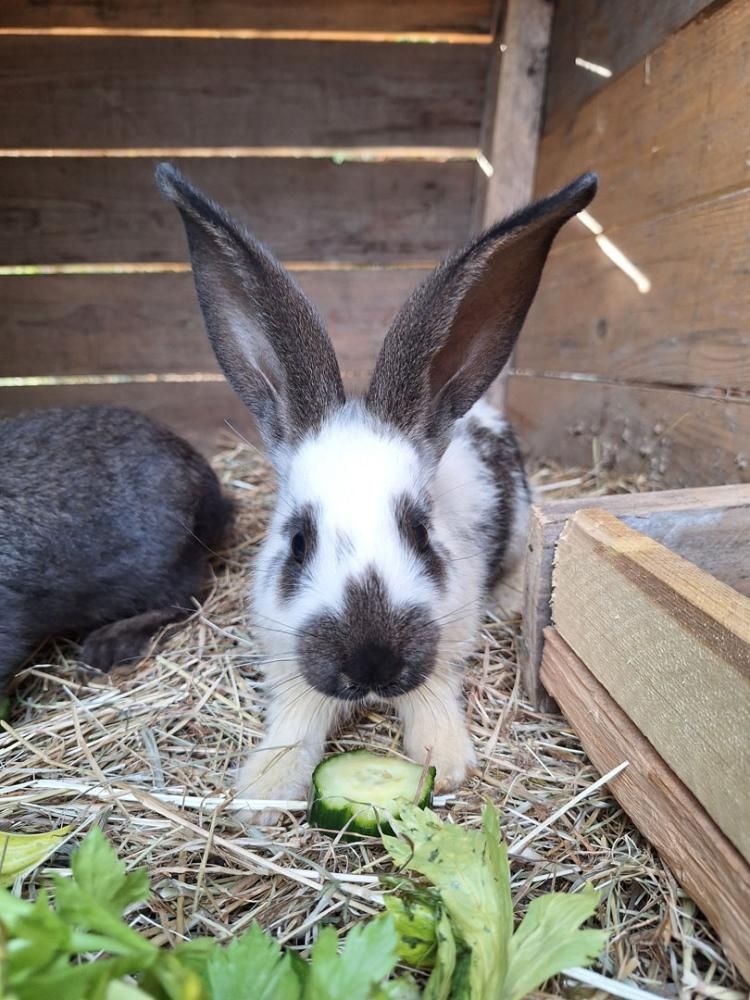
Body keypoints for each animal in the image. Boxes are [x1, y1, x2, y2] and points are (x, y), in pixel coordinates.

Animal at [157, 162, 597, 815]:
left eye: (420, 534)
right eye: (298, 543)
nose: (372, 664)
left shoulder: (449, 637)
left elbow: (433, 692)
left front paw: (447, 761)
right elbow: (297, 717)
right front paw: (266, 789)